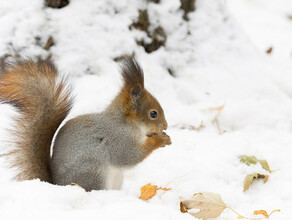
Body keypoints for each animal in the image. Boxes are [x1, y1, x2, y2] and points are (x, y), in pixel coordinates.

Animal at [0, 56, 171, 191]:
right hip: (93, 171)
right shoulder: (118, 139)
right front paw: (161, 139)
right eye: (153, 114)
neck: (126, 122)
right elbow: (129, 156)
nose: (165, 126)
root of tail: (56, 185)